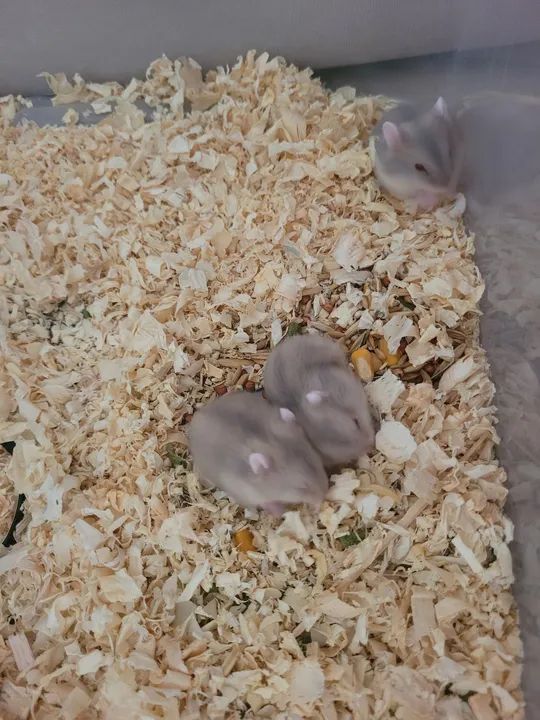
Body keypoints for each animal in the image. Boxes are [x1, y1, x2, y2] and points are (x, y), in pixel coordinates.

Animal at [188, 390, 328, 516]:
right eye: (301, 488)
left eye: (319, 465)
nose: (323, 496)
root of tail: (197, 415)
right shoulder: (246, 493)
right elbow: (266, 503)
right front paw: (282, 512)